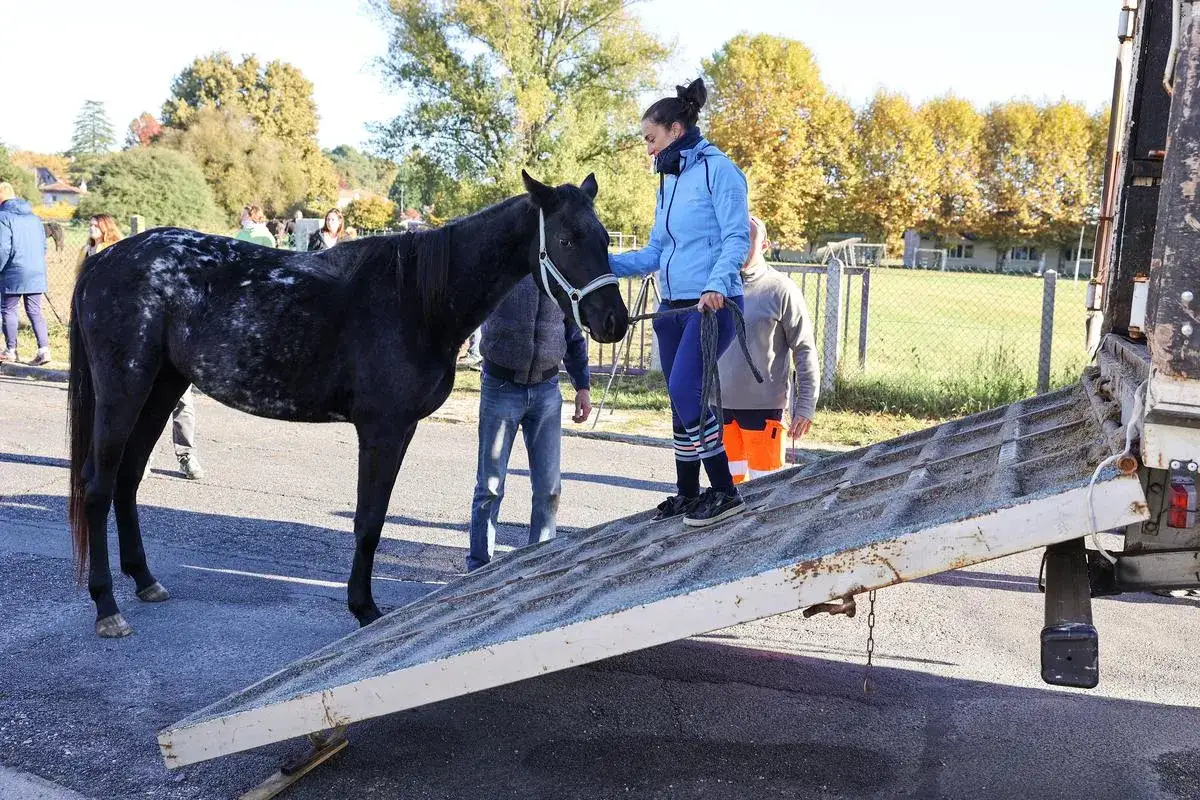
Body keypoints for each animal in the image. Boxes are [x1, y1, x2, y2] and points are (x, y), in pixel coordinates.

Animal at [67, 171, 629, 638]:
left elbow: (373, 516)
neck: (416, 299)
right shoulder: (382, 429)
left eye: (604, 239)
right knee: (98, 485)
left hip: (162, 389)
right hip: (124, 390)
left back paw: (145, 580)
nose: (615, 322)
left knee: (128, 479)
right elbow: (369, 518)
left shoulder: (401, 429)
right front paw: (364, 608)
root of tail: (104, 259)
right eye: (566, 239)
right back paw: (107, 607)